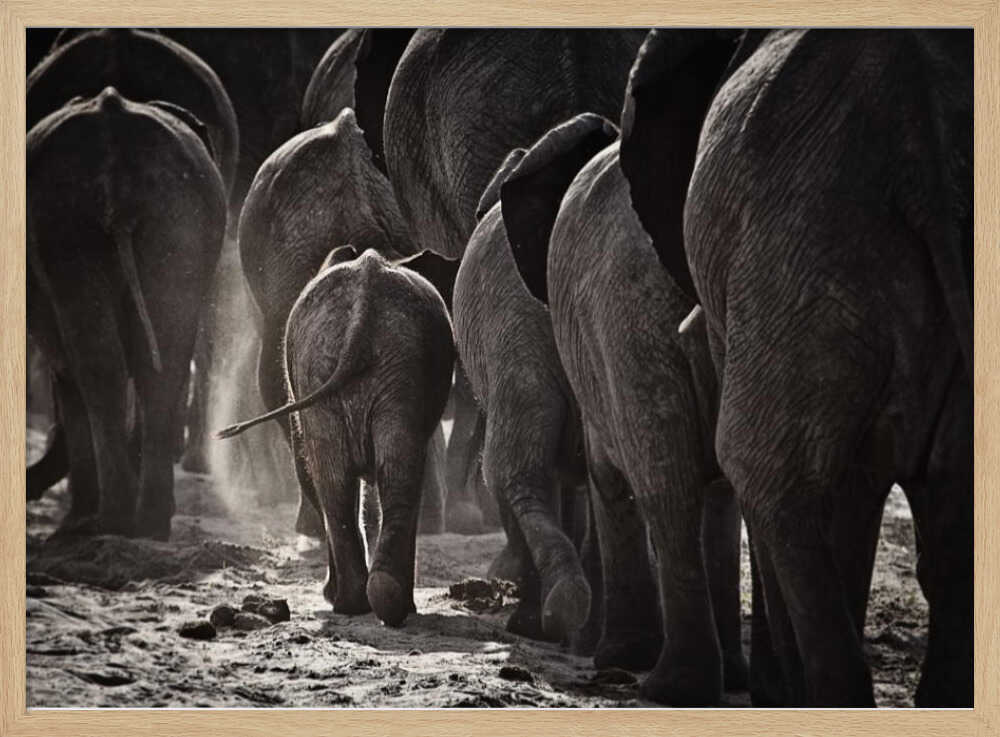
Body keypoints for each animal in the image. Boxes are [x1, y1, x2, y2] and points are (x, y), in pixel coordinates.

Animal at [27, 87, 227, 539]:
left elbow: (66, 372)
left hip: (63, 225)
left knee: (95, 365)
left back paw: (103, 521)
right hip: (180, 220)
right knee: (164, 361)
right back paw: (148, 524)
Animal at [218, 247, 455, 627]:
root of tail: (364, 305)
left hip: (360, 366)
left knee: (344, 480)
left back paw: (358, 602)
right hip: (366, 365)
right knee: (373, 476)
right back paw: (375, 602)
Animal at [503, 111, 747, 704]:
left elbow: (607, 476)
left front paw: (613, 656)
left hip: (628, 324)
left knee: (665, 484)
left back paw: (668, 685)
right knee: (713, 487)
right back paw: (718, 679)